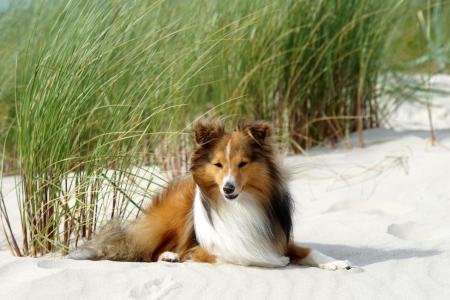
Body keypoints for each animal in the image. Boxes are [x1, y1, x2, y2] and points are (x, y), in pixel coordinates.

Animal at [69, 120, 352, 270]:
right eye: (218, 165)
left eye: (242, 164)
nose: (228, 188)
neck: (241, 205)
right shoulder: (213, 249)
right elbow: (232, 253)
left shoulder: (277, 238)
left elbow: (310, 251)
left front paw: (336, 263)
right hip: (172, 214)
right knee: (148, 251)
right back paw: (169, 255)